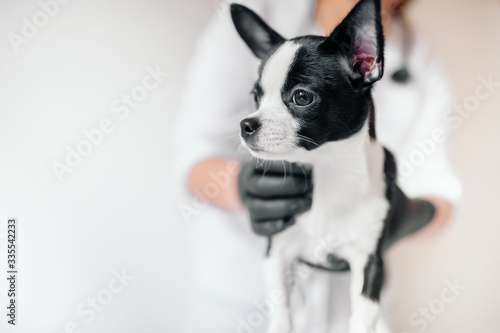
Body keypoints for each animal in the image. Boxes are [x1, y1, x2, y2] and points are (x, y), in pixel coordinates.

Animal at [232, 0, 396, 332]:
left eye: (301, 97)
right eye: (256, 97)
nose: (246, 124)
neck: (328, 172)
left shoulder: (370, 262)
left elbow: (363, 317)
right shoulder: (277, 253)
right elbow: (281, 311)